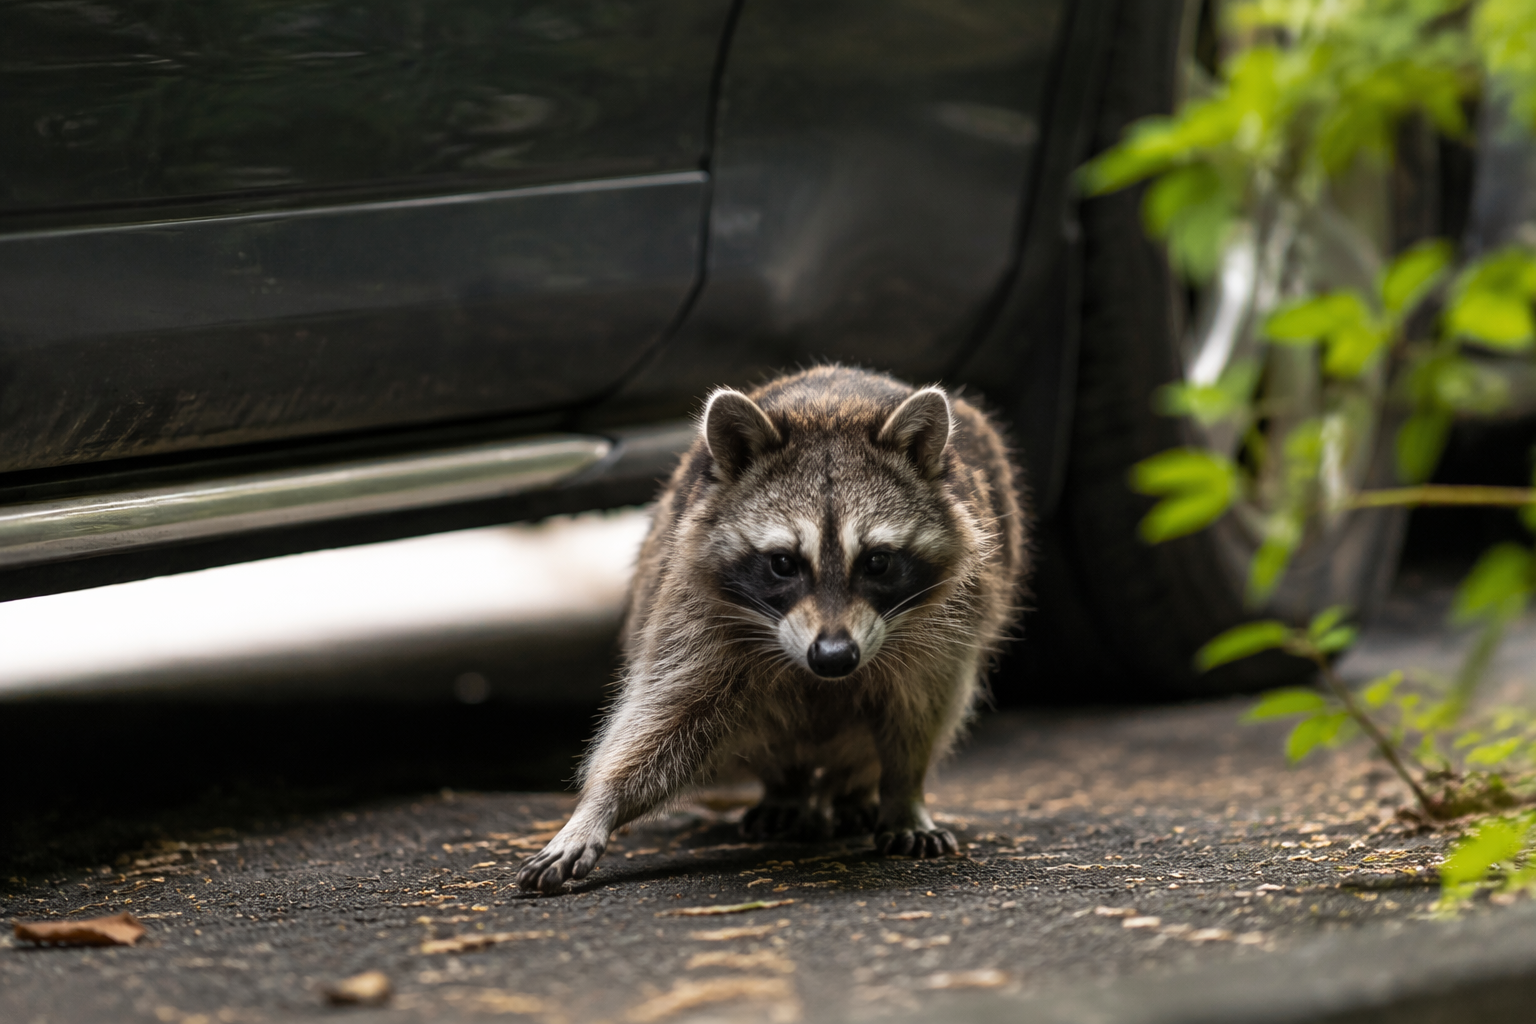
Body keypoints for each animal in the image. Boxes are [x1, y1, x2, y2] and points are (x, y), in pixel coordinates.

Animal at [517, 366, 1027, 893]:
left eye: (877, 562)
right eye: (783, 563)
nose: (834, 656)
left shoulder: (945, 628)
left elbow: (920, 712)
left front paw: (904, 792)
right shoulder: (696, 614)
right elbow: (665, 716)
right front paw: (599, 805)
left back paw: (855, 788)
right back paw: (786, 787)